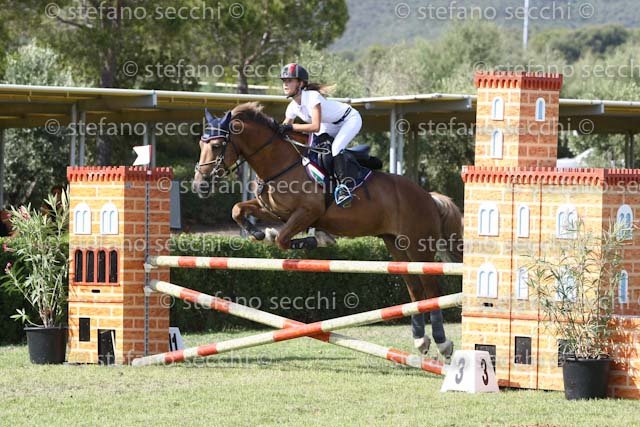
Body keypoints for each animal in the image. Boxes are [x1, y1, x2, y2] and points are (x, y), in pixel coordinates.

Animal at [192, 102, 463, 358]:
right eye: (201, 143)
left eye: (217, 145)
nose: (199, 185)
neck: (281, 162)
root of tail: (429, 196)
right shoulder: (276, 211)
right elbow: (238, 210)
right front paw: (258, 233)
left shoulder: (307, 212)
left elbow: (282, 239)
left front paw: (312, 240)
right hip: (396, 245)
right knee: (415, 289)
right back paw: (420, 340)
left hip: (419, 246)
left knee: (431, 289)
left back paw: (443, 343)